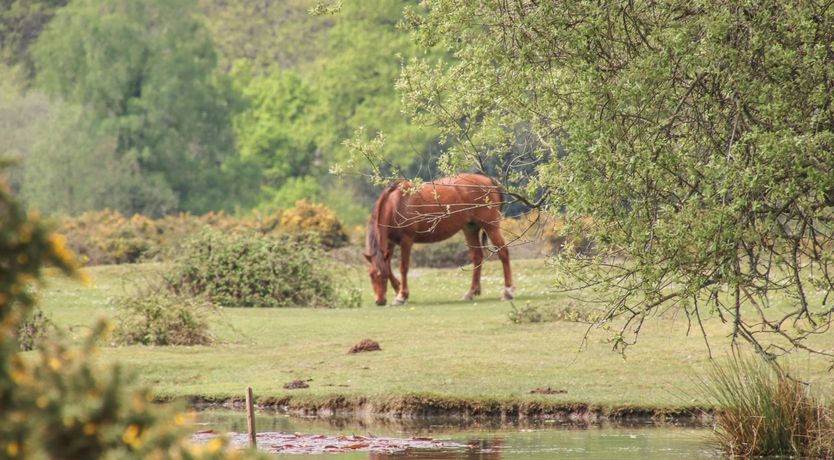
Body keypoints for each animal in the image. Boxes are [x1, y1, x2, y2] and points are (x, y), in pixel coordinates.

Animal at [366, 172, 512, 306]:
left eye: (382, 277)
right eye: (371, 275)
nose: (380, 301)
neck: (395, 203)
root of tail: (489, 180)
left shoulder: (406, 241)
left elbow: (403, 267)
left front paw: (402, 295)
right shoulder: (389, 243)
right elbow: (389, 266)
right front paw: (398, 290)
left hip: (491, 227)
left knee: (503, 253)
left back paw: (508, 291)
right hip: (470, 228)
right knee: (477, 257)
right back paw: (471, 292)